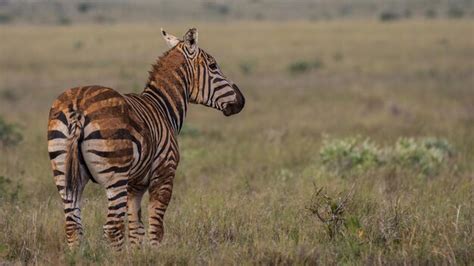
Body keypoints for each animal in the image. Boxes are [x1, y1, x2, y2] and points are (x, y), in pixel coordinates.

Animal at [47, 27, 244, 249]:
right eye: (213, 66)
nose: (241, 101)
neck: (163, 107)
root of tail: (78, 105)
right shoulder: (164, 175)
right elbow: (155, 228)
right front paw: (156, 253)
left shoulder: (135, 184)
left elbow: (136, 229)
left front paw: (138, 253)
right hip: (115, 175)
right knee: (112, 228)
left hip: (64, 172)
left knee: (73, 226)